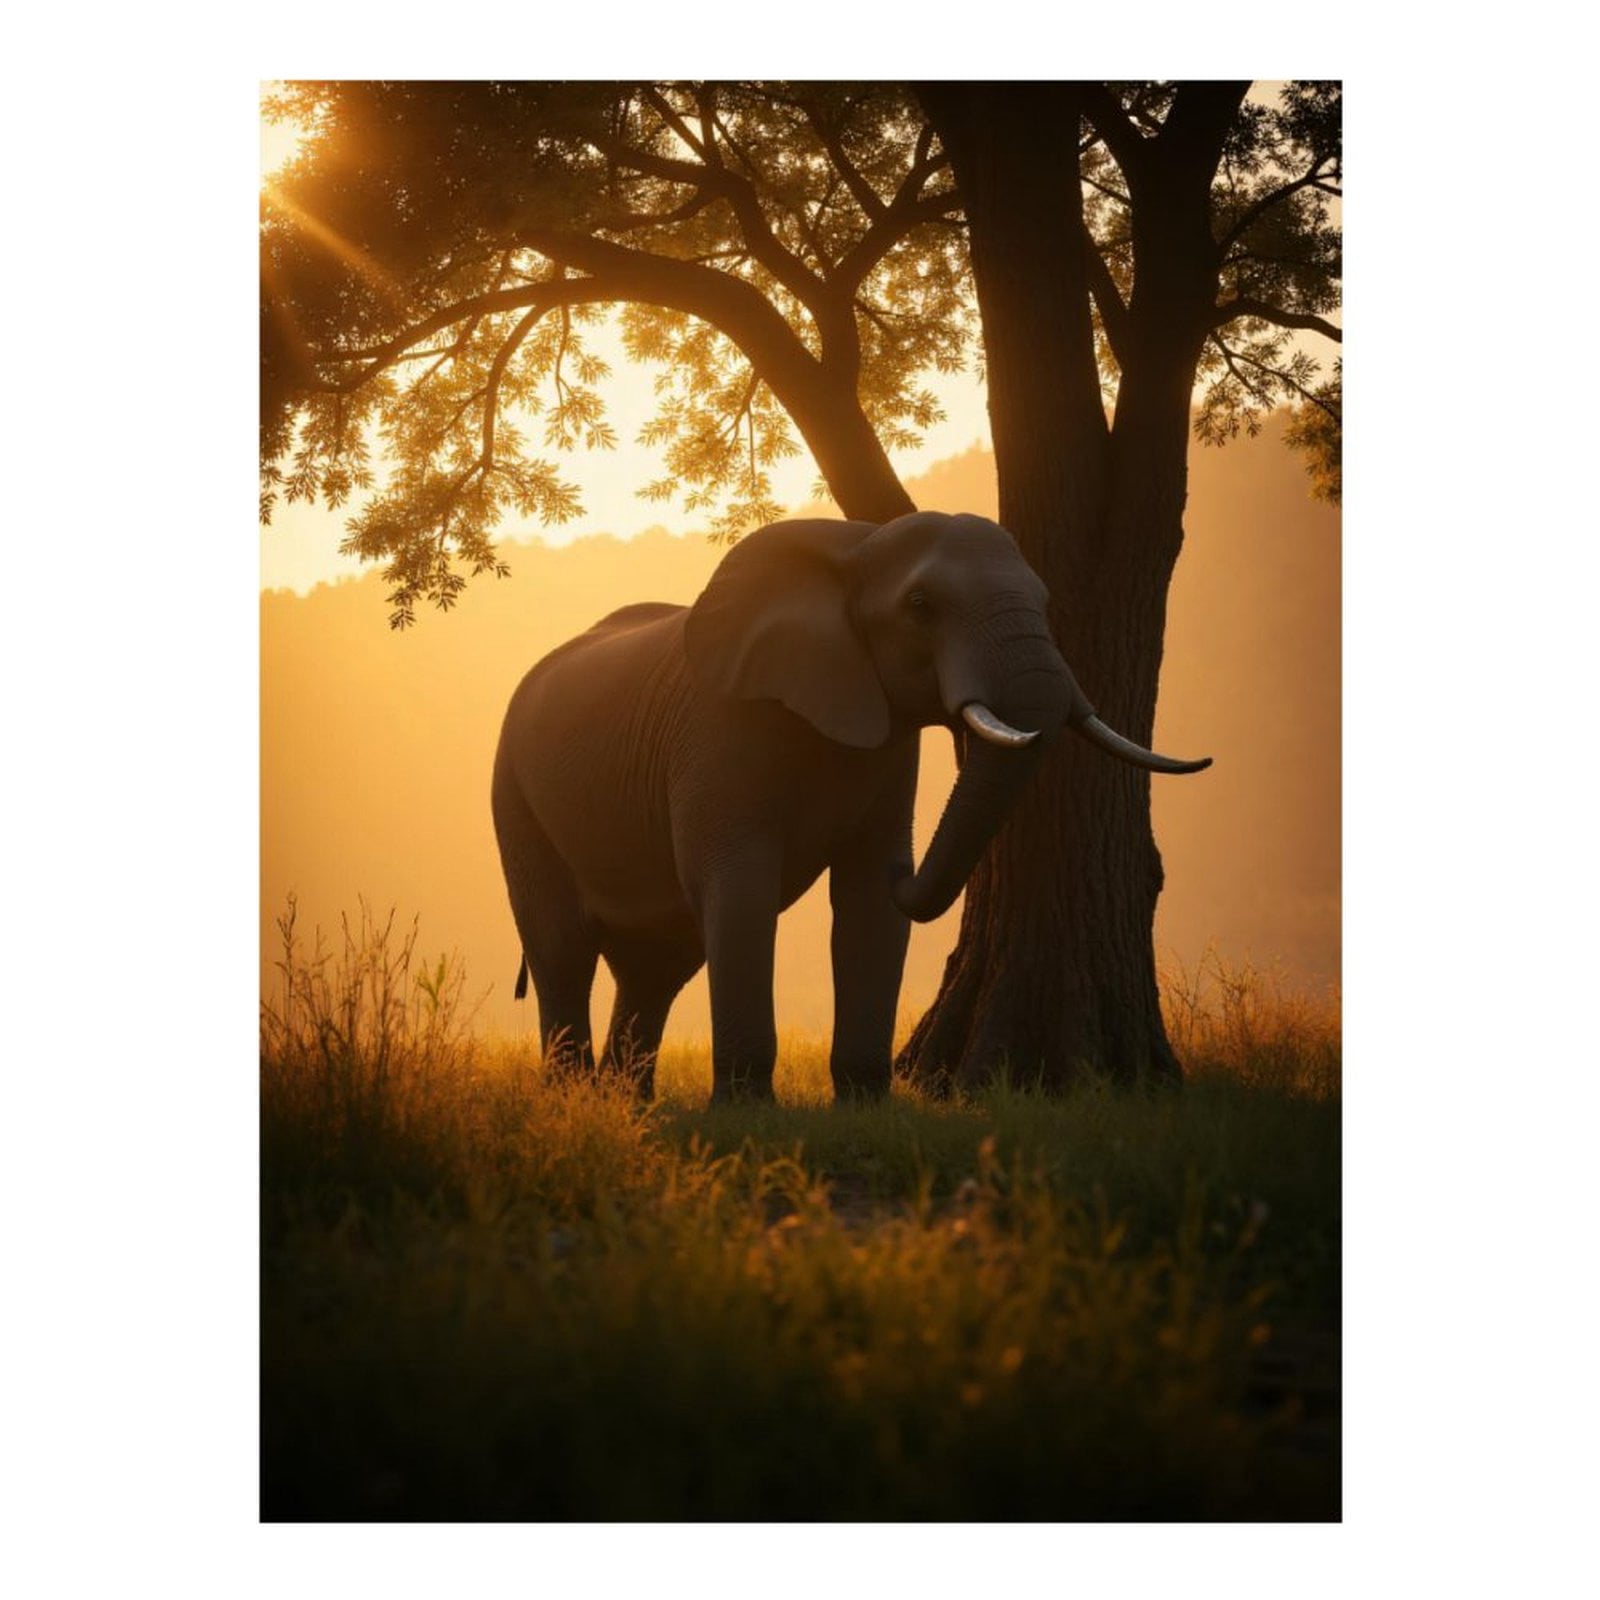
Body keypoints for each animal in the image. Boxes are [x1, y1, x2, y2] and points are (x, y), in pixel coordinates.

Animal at [492, 512, 1209, 1103]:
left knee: (657, 967)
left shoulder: (889, 748)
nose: (911, 871)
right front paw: (749, 1113)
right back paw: (575, 1104)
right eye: (920, 605)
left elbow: (866, 897)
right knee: (564, 950)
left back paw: (626, 1105)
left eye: (1047, 602)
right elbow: (741, 889)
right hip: (515, 799)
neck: (857, 544)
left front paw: (866, 1104)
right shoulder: (718, 731)